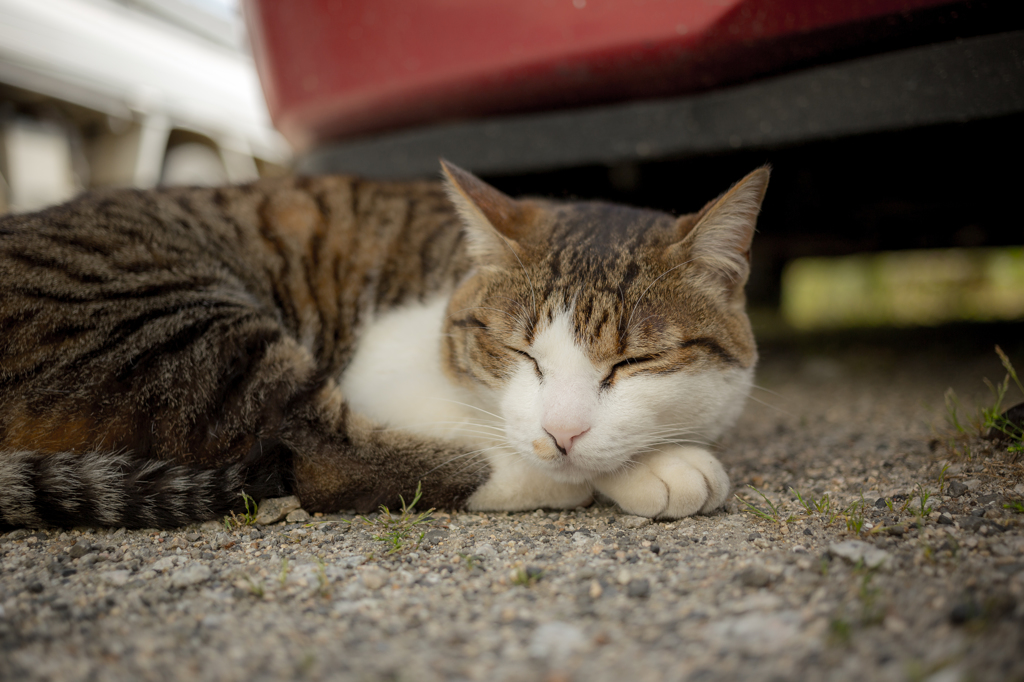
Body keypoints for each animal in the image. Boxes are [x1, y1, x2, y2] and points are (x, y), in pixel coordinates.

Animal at [0, 161, 770, 528]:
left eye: (635, 362)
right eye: (521, 354)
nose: (562, 434)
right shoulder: (383, 366)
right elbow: (497, 428)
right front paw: (650, 468)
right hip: (183, 321)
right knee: (320, 458)